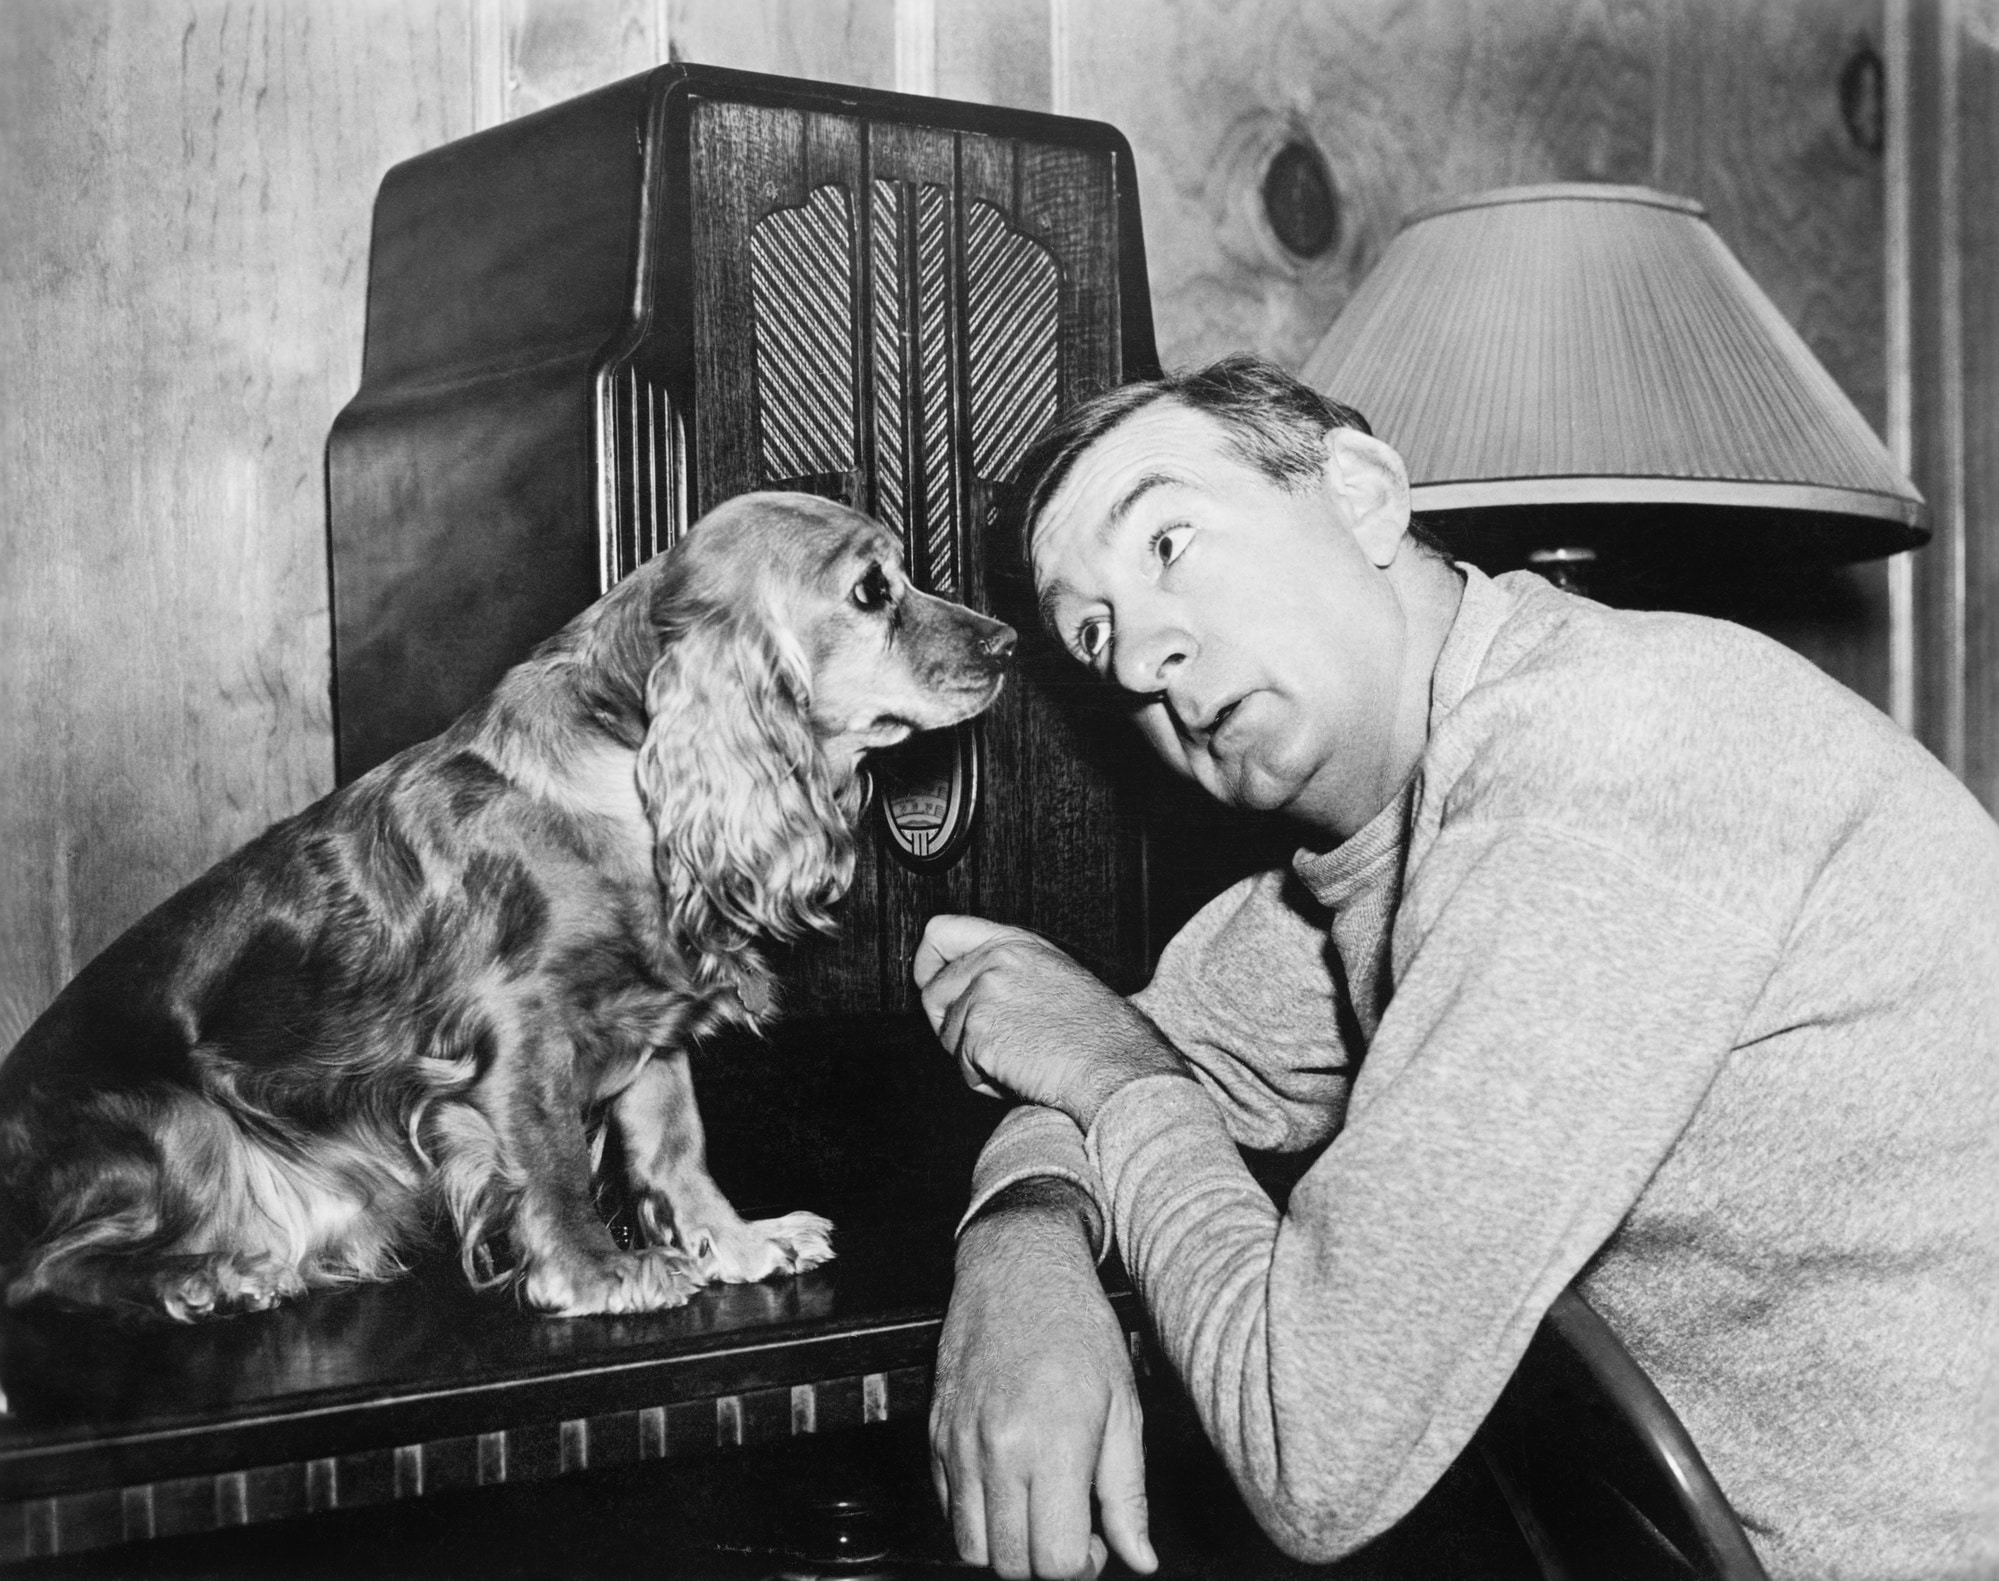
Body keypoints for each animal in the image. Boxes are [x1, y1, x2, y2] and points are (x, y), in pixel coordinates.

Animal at [0, 491, 1015, 1327]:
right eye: (872, 591)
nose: (1008, 642)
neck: (630, 771)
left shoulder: (649, 1029)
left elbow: (676, 1150)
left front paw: (736, 1243)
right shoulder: (516, 1039)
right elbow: (554, 1162)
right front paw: (600, 1274)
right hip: (180, 1124)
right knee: (46, 1267)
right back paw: (205, 1278)